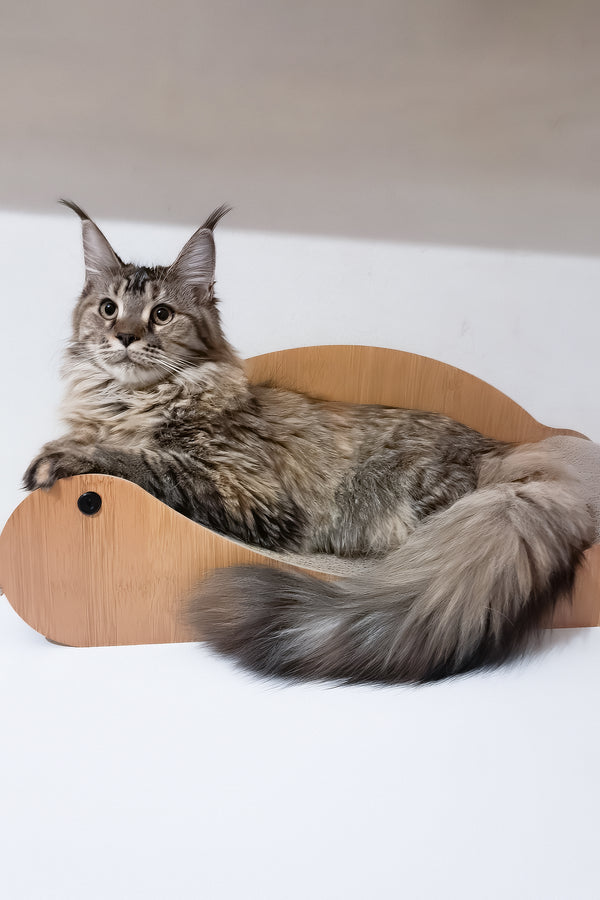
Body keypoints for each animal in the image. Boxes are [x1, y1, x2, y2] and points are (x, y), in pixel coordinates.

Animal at [23, 202, 594, 684]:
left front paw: (57, 459)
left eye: (161, 314)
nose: (123, 337)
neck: (128, 401)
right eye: (108, 308)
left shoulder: (249, 493)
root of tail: (509, 457)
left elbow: (143, 459)